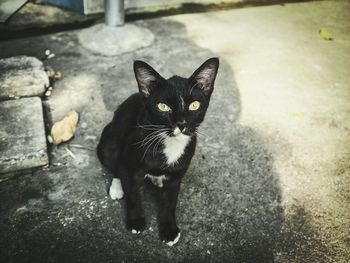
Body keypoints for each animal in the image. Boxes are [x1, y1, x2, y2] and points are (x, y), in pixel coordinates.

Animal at [96, 56, 219, 246]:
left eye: (194, 105)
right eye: (163, 107)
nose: (182, 124)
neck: (170, 143)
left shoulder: (177, 175)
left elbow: (169, 203)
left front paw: (169, 230)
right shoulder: (130, 164)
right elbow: (133, 195)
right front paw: (136, 221)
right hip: (109, 142)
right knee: (115, 164)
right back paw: (117, 187)